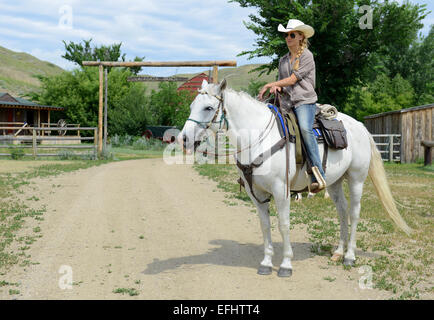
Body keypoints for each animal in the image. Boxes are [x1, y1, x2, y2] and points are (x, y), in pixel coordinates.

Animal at [179, 79, 410, 276]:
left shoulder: (281, 190)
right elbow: (265, 225)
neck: (258, 138)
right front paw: (266, 263)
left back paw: (350, 256)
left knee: (353, 213)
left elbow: (283, 224)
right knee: (342, 211)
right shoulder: (257, 193)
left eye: (208, 108)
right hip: (334, 182)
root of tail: (360, 126)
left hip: (356, 179)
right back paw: (338, 252)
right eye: (191, 106)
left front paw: (285, 265)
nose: (183, 138)